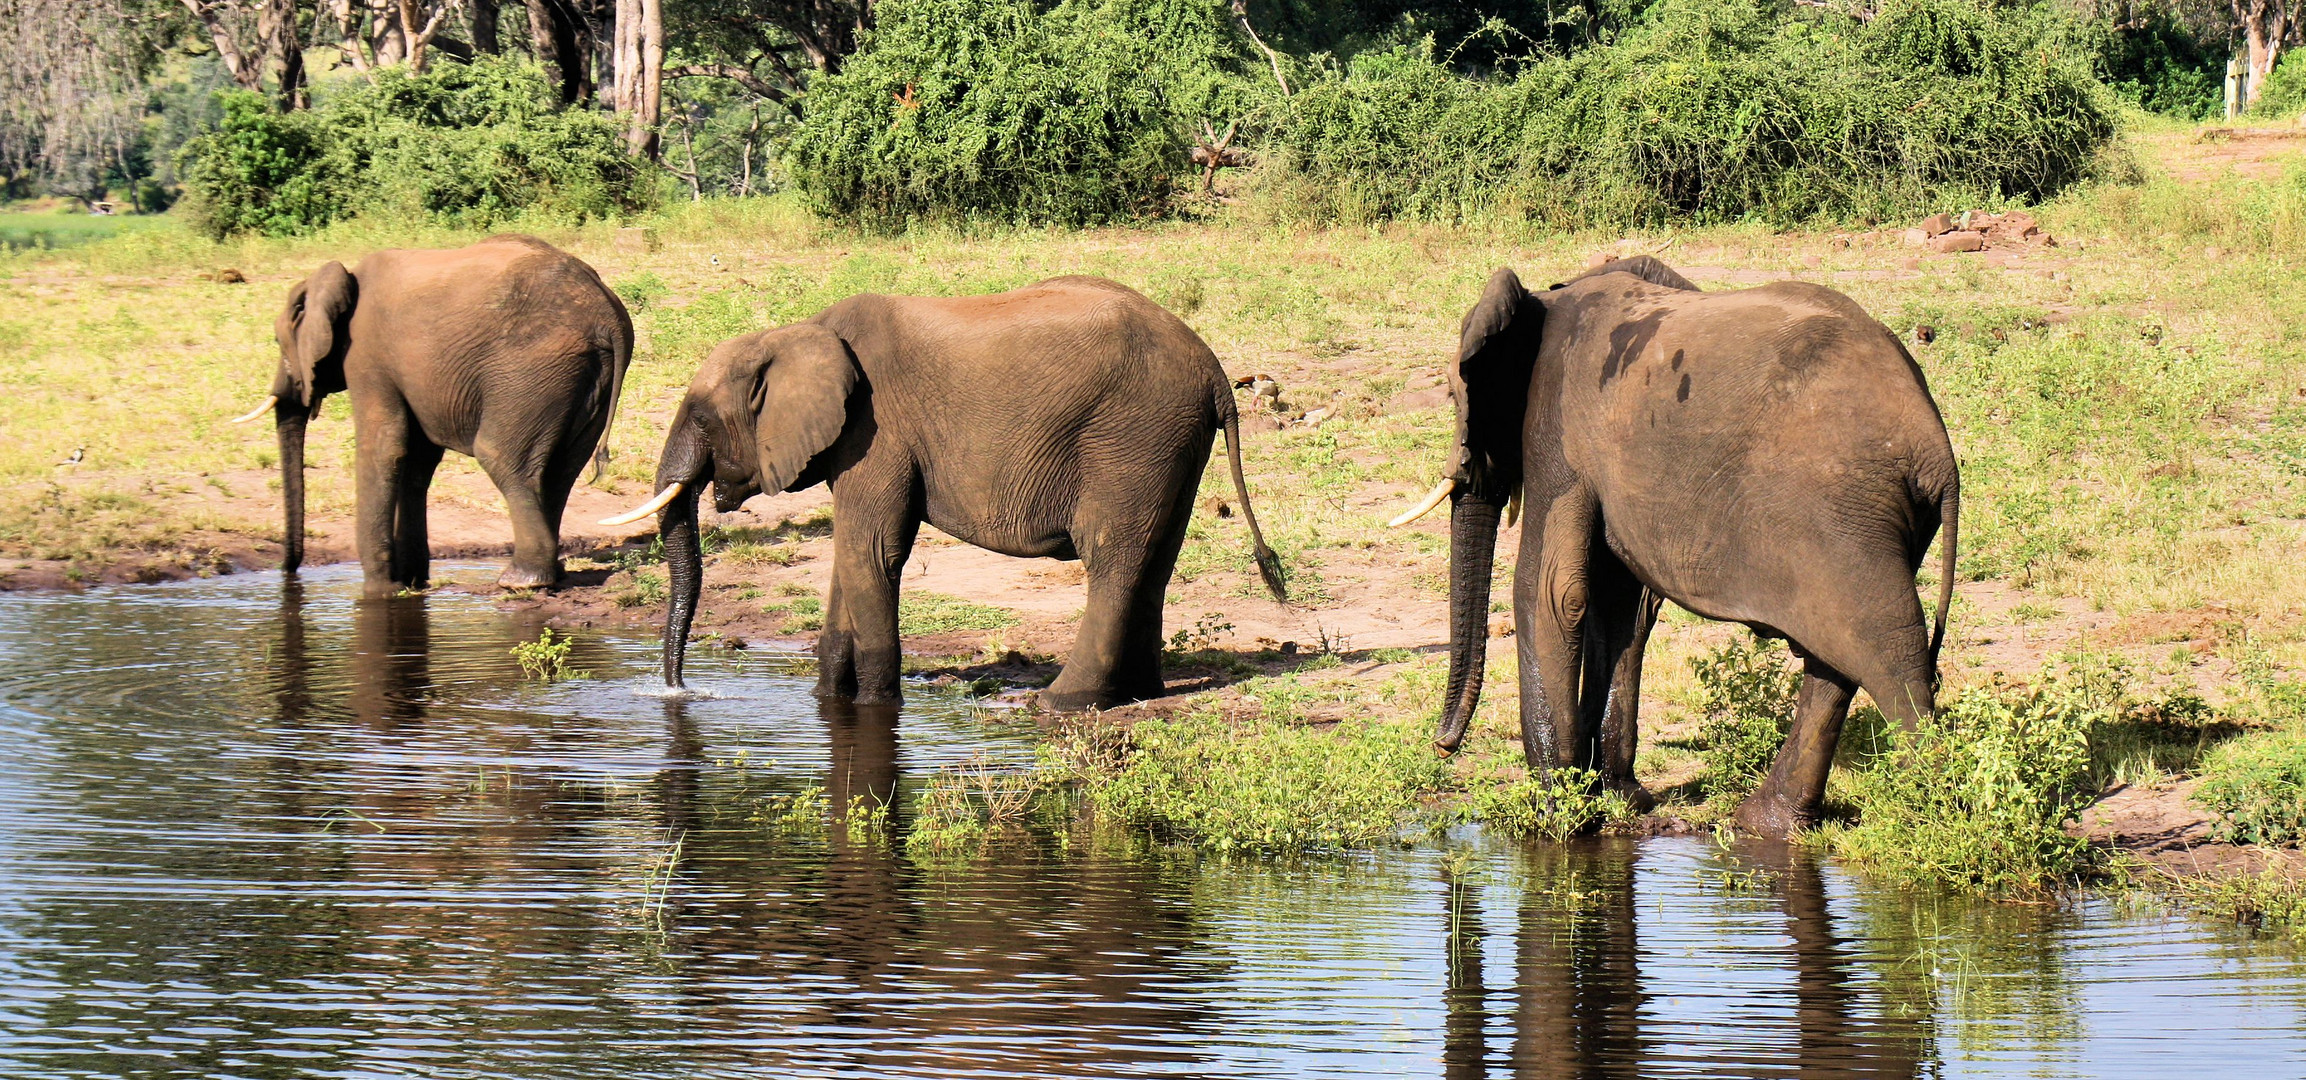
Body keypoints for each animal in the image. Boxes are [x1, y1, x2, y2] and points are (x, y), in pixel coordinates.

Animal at [225, 233, 631, 600]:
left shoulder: (366, 354)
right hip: (584, 377)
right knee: (562, 470)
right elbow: (418, 460)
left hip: (532, 370)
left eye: (277, 342)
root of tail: (606, 312)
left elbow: (384, 447)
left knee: (501, 457)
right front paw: (412, 582)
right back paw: (551, 575)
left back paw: (519, 581)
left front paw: (380, 591)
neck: (343, 277)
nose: (288, 571)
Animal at [604, 274, 1291, 710]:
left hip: (1131, 436)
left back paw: (1060, 703)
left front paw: (878, 704)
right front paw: (829, 700)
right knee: (1154, 561)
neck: (799, 334)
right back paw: (1139, 695)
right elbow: (851, 556)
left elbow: (875, 551)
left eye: (700, 419)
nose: (675, 693)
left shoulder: (877, 431)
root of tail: (1215, 372)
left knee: (1113, 559)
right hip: (1169, 445)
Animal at [1392, 259, 1955, 835]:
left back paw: (1928, 813)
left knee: (1890, 656)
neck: (1545, 299)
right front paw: (1616, 800)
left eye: (1457, 397)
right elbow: (1620, 606)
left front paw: (1553, 817)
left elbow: (1551, 593)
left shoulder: (1556, 423)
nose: (1442, 746)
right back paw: (1764, 826)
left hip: (1845, 511)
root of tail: (1936, 452)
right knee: (1835, 661)